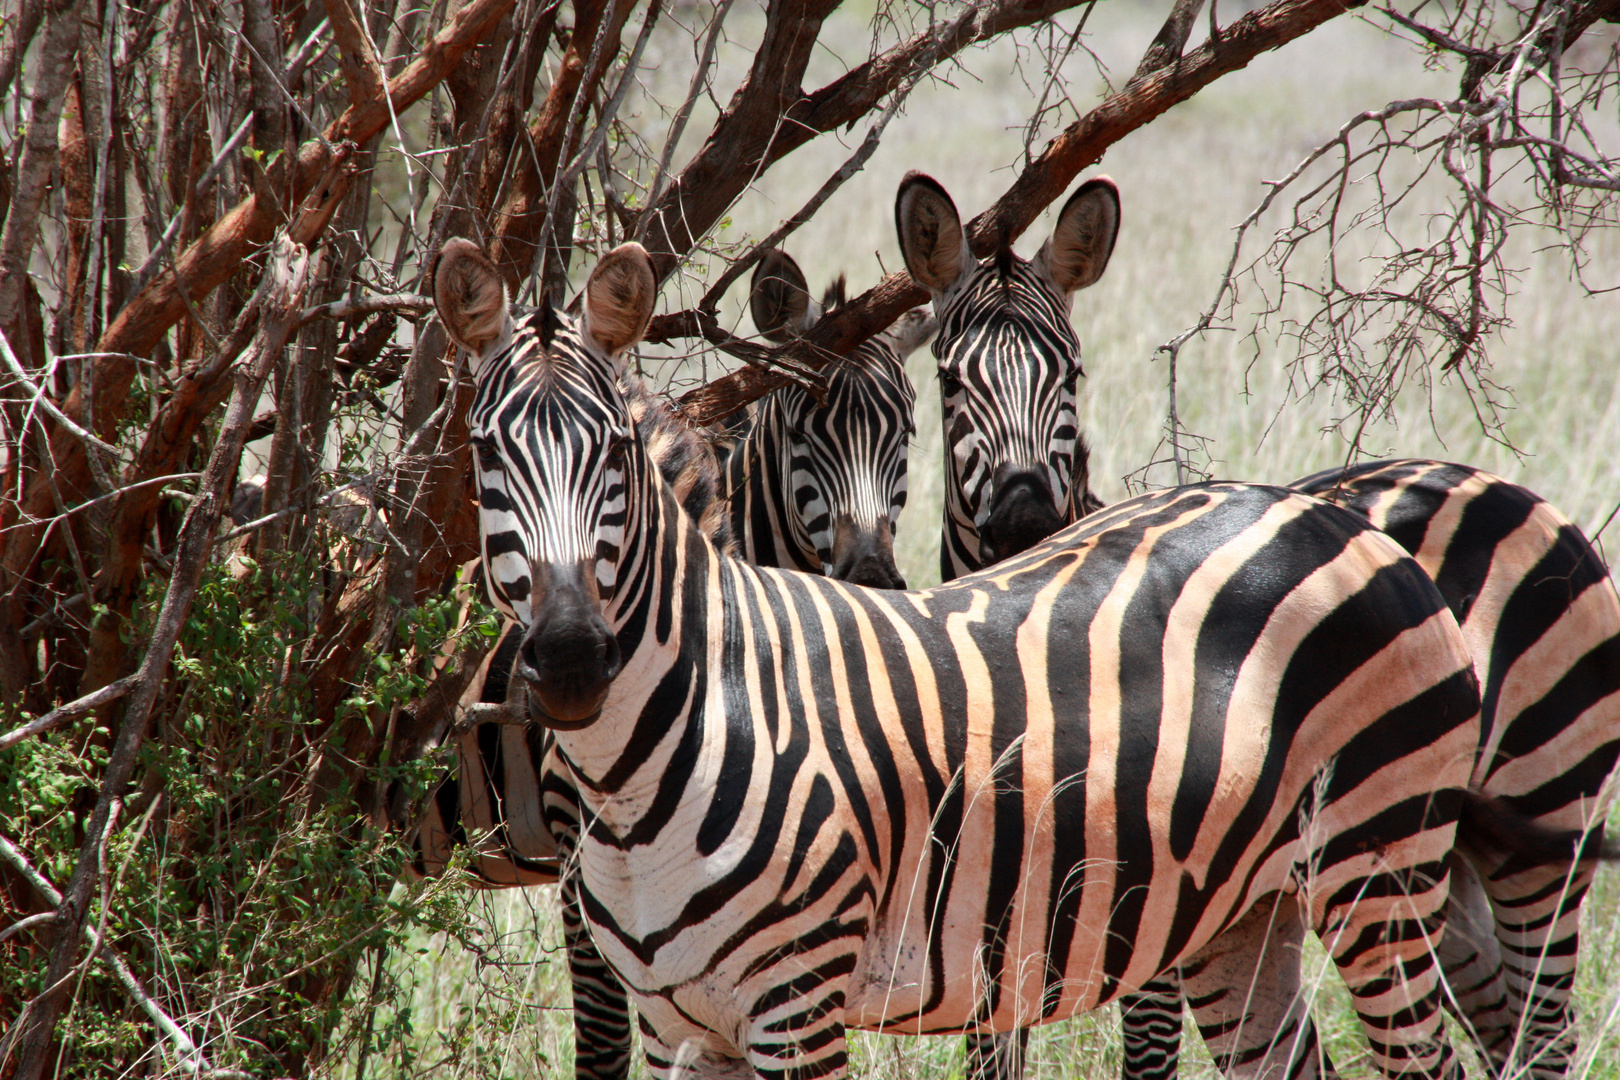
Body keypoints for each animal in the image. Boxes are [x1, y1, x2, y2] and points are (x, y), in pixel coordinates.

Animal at [427, 234, 1516, 1080]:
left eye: (614, 450)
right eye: (483, 453)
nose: (572, 661)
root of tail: (1338, 517)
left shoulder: (795, 1007)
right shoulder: (678, 1024)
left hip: (1378, 873)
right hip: (1243, 911)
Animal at [900, 170, 1620, 1080]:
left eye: (1072, 374)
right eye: (951, 384)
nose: (1026, 522)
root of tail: (1497, 483)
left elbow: (1148, 1053)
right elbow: (994, 1051)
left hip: (1545, 822)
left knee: (1542, 1028)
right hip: (1438, 851)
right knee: (1496, 1022)